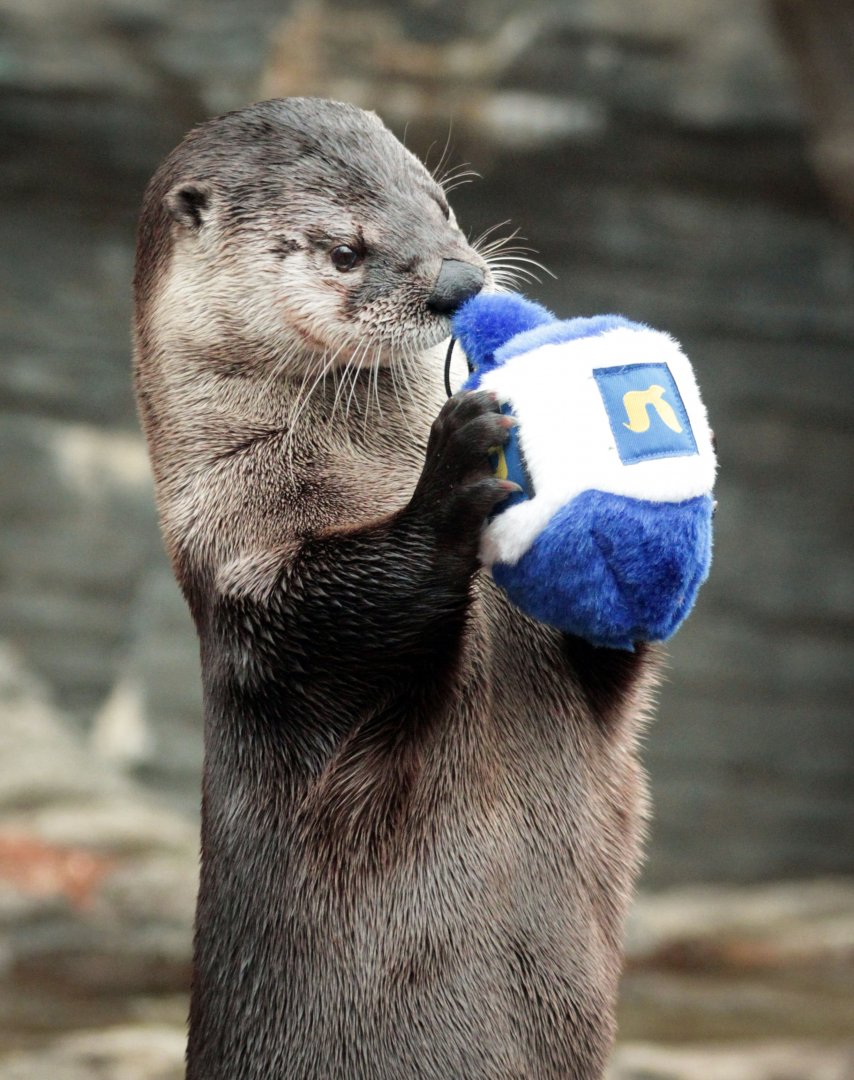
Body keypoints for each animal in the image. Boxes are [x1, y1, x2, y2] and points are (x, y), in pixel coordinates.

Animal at [133, 97, 653, 1080]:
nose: (459, 277)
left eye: (440, 203)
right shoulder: (245, 566)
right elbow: (345, 612)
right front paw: (451, 473)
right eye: (346, 248)